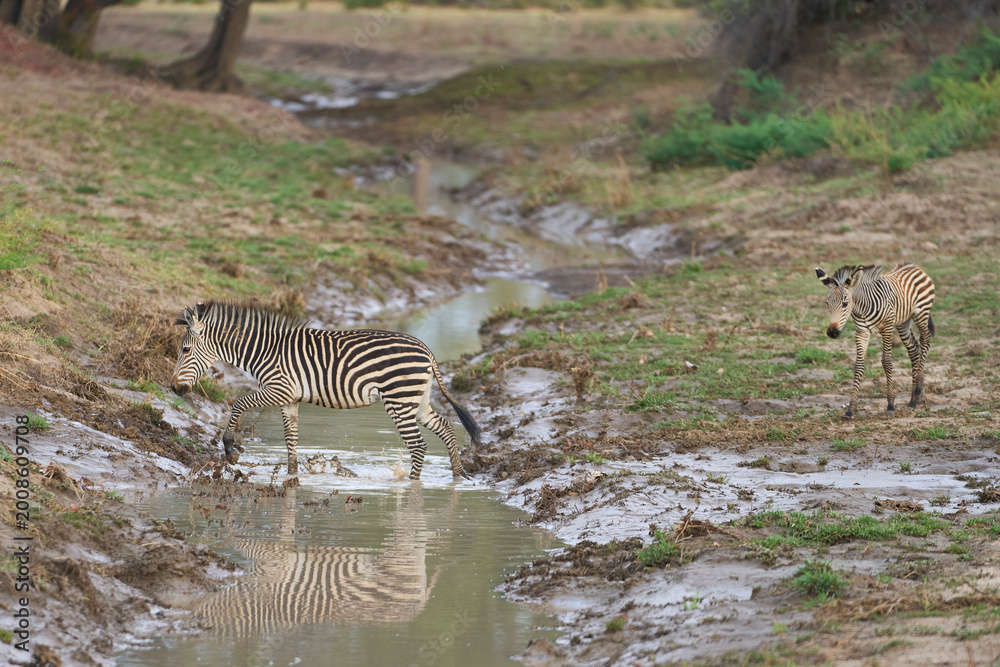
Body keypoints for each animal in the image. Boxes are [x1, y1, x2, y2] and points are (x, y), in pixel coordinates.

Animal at [170, 301, 481, 479]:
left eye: (184, 350)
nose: (173, 388)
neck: (265, 351)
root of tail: (426, 349)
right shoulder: (289, 399)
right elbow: (291, 439)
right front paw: (292, 475)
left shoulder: (278, 389)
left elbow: (238, 404)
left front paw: (230, 447)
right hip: (417, 399)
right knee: (446, 427)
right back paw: (458, 474)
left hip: (399, 400)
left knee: (418, 446)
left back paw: (412, 486)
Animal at [815, 263, 935, 418]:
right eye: (827, 303)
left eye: (845, 304)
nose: (832, 332)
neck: (862, 309)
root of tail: (913, 266)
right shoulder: (861, 332)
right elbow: (858, 366)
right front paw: (850, 409)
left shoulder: (887, 328)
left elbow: (887, 362)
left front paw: (890, 405)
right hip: (903, 322)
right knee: (913, 350)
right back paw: (913, 400)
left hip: (921, 313)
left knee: (925, 340)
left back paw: (919, 389)